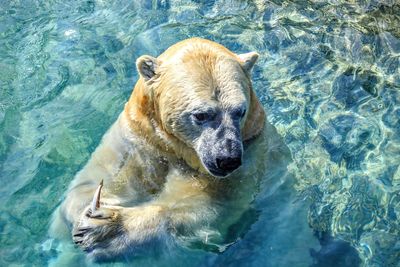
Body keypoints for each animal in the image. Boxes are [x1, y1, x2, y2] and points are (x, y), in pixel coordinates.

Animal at [50, 37, 268, 262]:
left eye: (240, 111)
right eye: (200, 115)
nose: (227, 158)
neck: (175, 149)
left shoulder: (250, 150)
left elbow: (209, 207)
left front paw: (108, 228)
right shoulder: (139, 138)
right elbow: (95, 179)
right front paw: (89, 212)